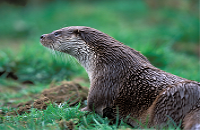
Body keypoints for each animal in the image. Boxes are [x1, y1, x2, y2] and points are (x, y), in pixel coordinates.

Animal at [39, 25, 199, 128]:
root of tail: (194, 101)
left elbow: (91, 105)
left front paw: (65, 110)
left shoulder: (106, 78)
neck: (102, 58)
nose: (42, 36)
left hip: (168, 102)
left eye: (57, 33)